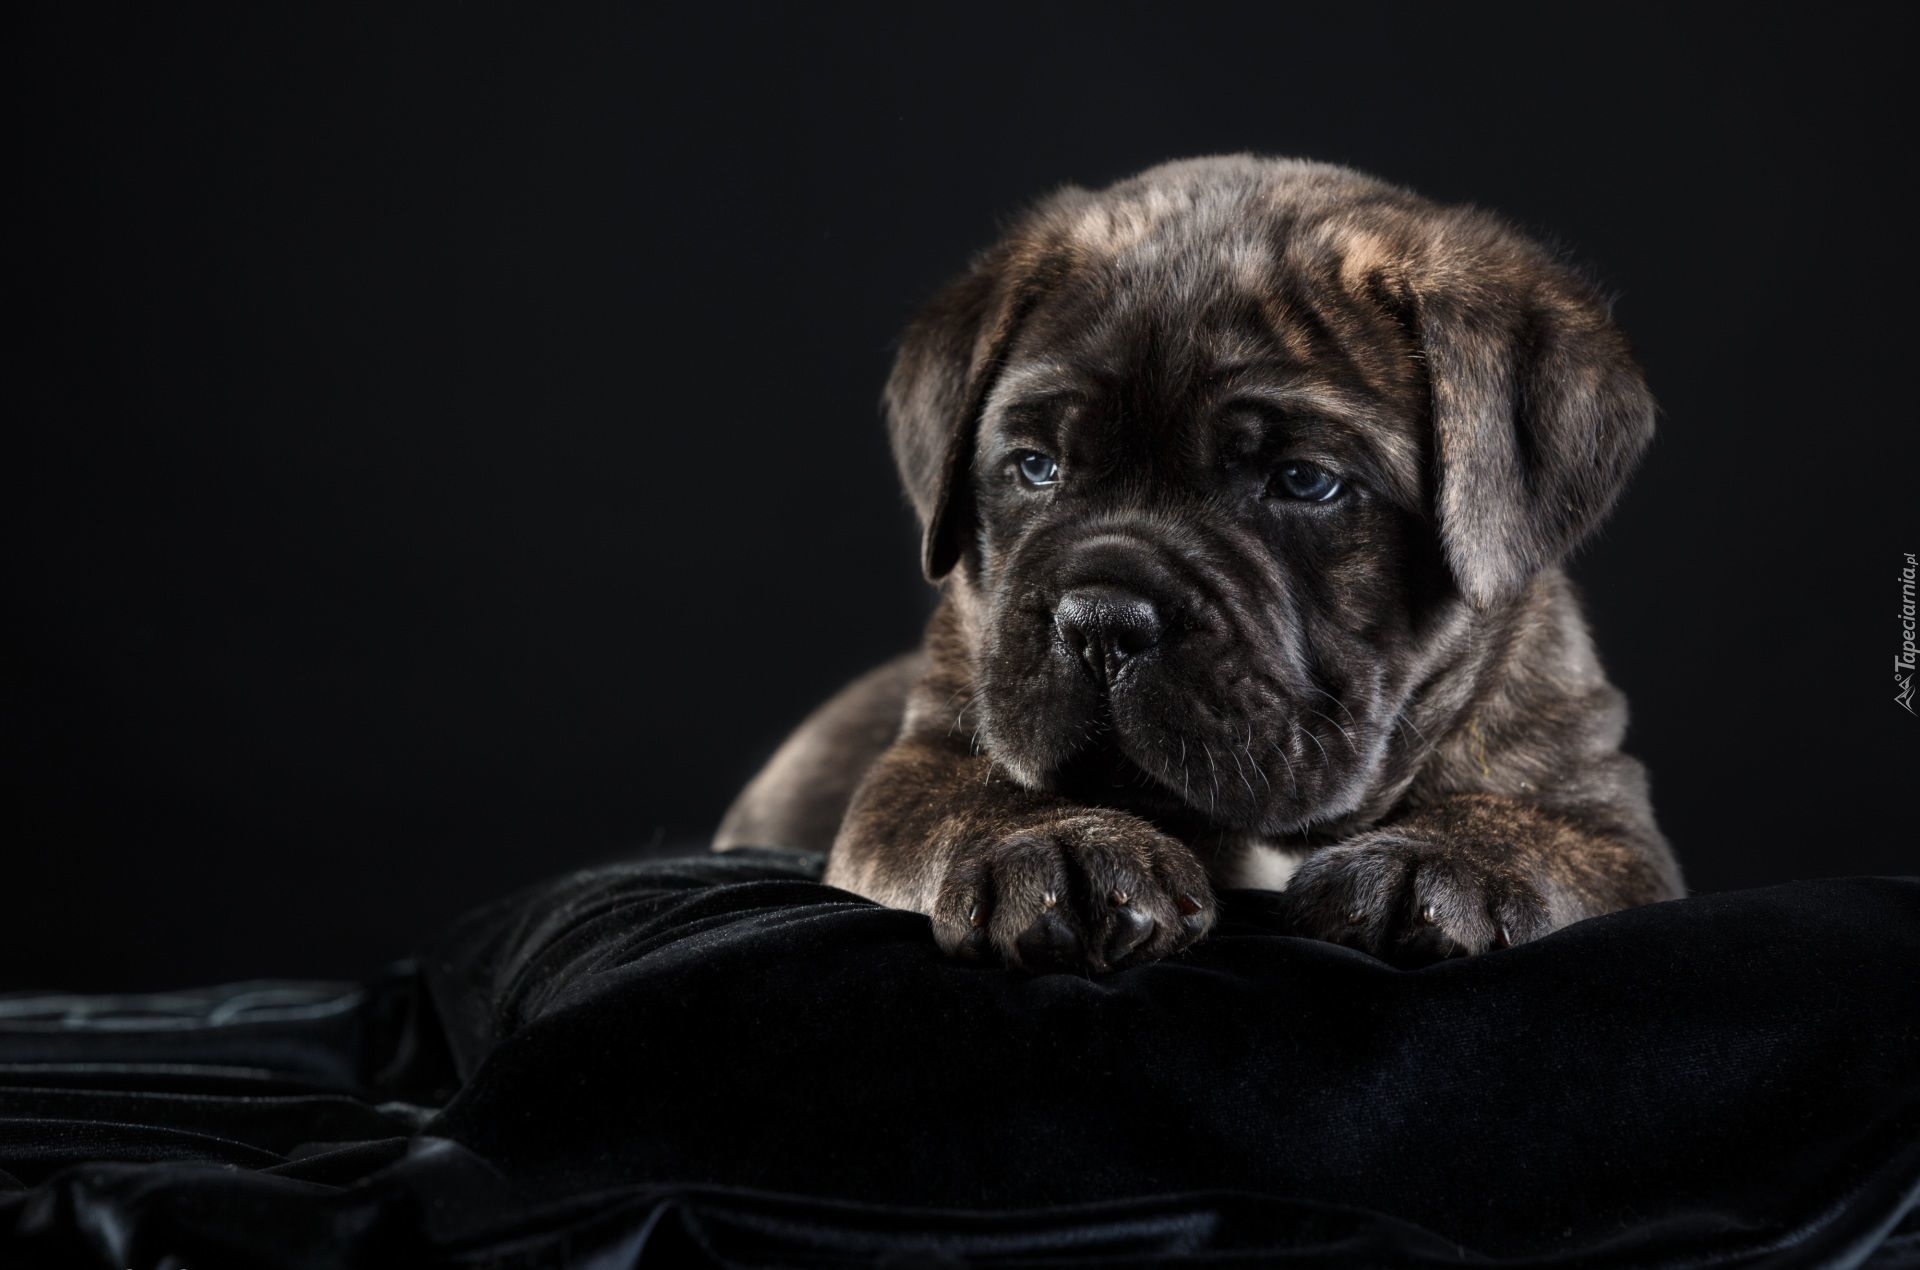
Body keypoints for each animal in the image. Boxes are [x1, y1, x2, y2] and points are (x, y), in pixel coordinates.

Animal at [721, 155, 1681, 972]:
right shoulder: (922, 757)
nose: (1101, 623)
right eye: (1035, 466)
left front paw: (1444, 864)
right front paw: (1062, 846)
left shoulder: (1608, 817)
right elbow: (966, 797)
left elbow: (1540, 834)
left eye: (1303, 481)